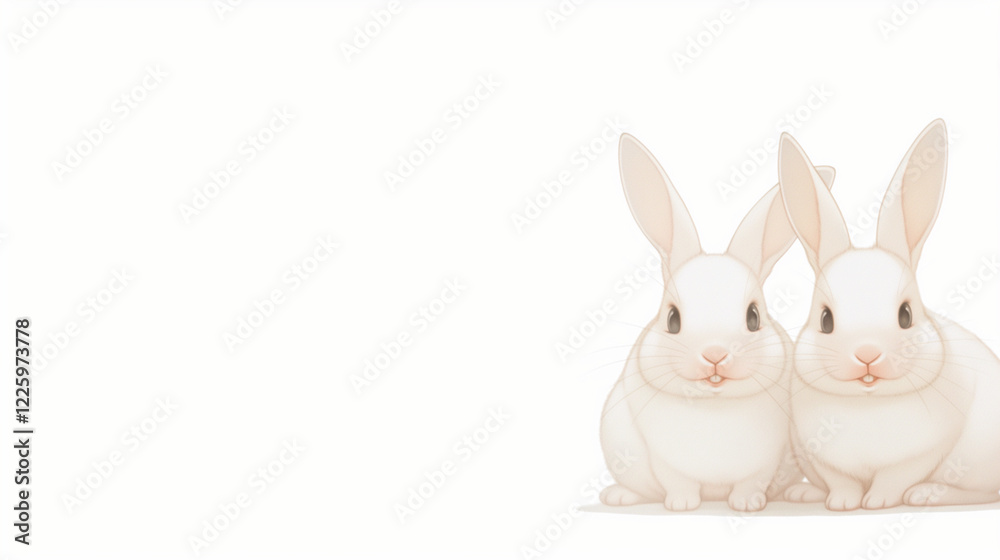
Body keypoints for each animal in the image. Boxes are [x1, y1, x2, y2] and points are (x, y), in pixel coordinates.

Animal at [599, 133, 836, 512]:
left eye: (754, 317)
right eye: (672, 319)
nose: (714, 354)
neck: (715, 403)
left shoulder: (765, 461)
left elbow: (751, 482)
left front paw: (747, 504)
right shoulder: (666, 462)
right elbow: (677, 482)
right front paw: (681, 505)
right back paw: (619, 496)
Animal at [777, 119, 1000, 511]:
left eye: (906, 315)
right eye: (825, 320)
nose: (867, 353)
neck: (869, 402)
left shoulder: (921, 455)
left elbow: (893, 479)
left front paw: (878, 502)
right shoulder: (822, 458)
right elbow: (842, 482)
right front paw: (841, 504)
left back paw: (928, 494)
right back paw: (804, 493)